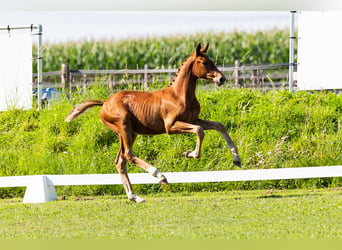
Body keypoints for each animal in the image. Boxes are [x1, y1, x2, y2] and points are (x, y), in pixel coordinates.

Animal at [65, 43, 240, 203]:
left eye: (212, 61)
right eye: (204, 62)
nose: (222, 78)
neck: (179, 95)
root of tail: (104, 103)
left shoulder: (193, 119)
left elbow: (219, 125)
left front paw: (236, 159)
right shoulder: (171, 126)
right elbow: (199, 131)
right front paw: (190, 154)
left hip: (129, 133)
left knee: (120, 161)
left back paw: (134, 196)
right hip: (124, 127)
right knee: (128, 155)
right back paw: (159, 176)